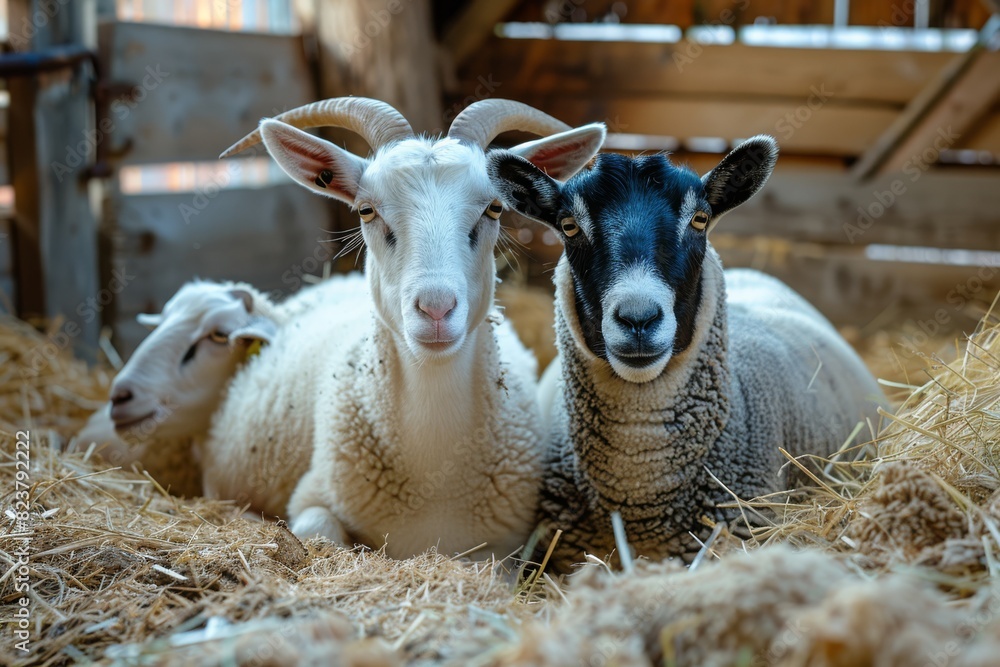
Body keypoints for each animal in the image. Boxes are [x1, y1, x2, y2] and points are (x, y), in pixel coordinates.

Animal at [219, 97, 607, 559]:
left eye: (494, 208)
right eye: (366, 210)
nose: (436, 309)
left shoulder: (508, 544)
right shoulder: (312, 496)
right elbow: (319, 533)